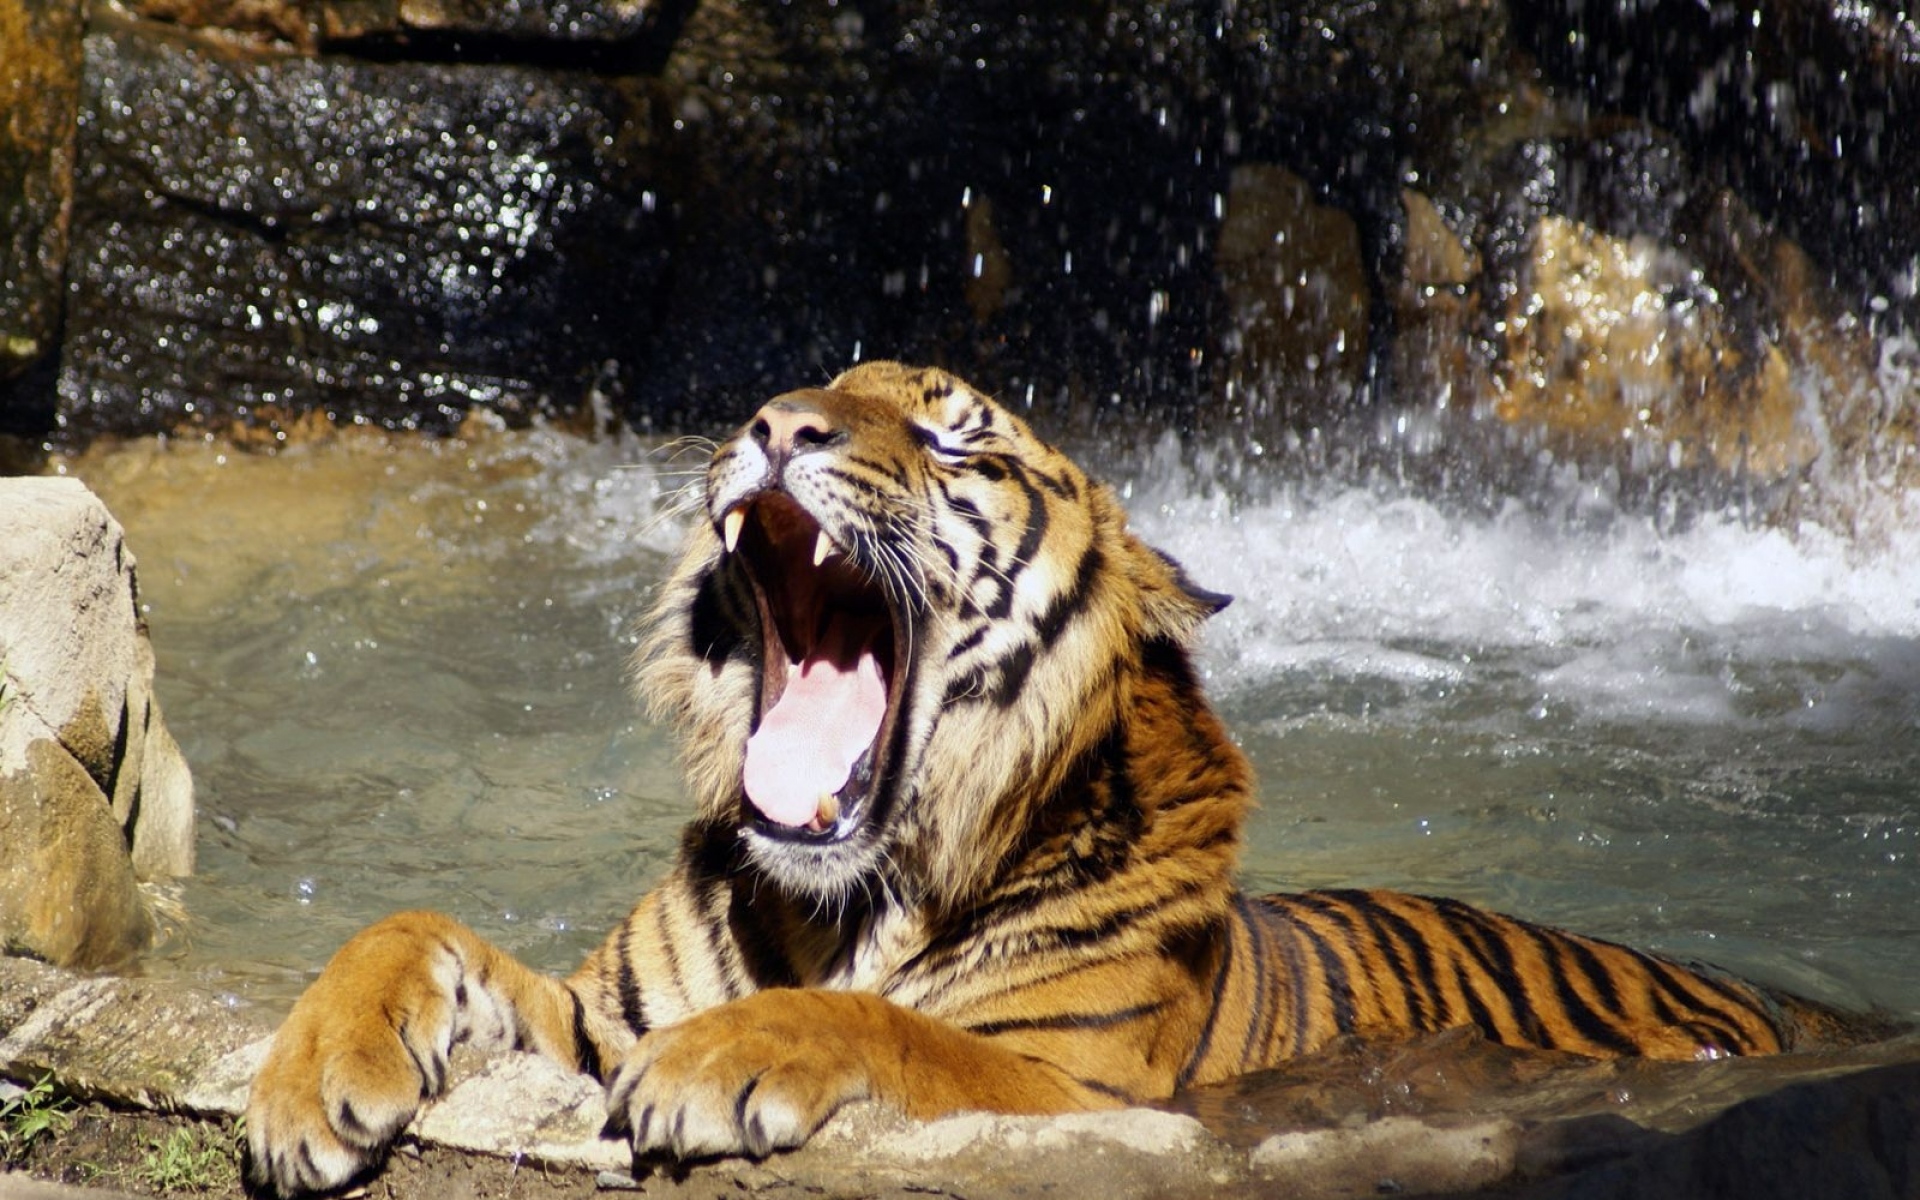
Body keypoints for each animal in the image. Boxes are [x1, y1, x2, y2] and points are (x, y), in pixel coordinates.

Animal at [245, 360, 1862, 1195]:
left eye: (950, 430)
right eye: (809, 386)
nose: (776, 425)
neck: (844, 901)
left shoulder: (1075, 1082)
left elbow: (893, 1029)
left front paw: (725, 1064)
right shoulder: (594, 1016)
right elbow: (405, 929)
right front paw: (307, 1085)